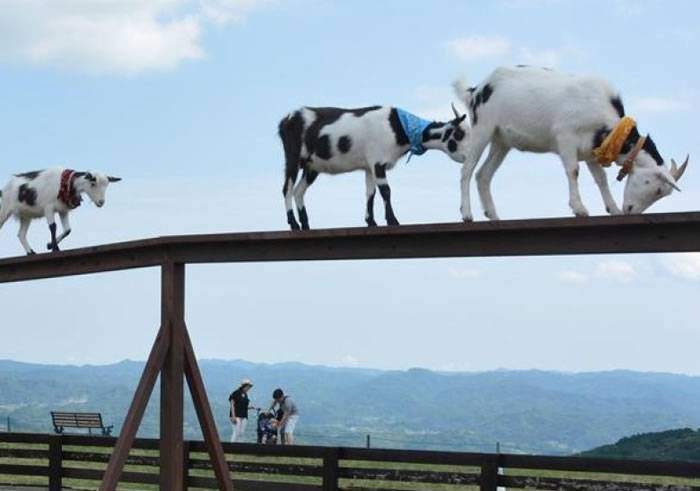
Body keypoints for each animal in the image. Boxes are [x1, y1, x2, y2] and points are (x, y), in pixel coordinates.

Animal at [452, 66, 688, 221]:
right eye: (655, 188)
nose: (630, 210)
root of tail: (476, 90)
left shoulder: (592, 149)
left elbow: (601, 179)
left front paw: (612, 208)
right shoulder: (565, 137)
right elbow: (573, 171)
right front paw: (579, 209)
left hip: (501, 141)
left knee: (483, 174)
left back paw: (493, 215)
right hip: (483, 128)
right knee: (467, 170)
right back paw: (467, 214)